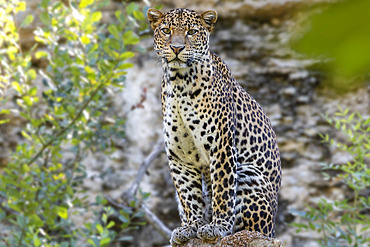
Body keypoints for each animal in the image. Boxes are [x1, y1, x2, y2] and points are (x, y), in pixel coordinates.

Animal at [147, 7, 280, 245]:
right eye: (166, 31)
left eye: (191, 32)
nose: (177, 48)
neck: (179, 82)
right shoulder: (179, 156)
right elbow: (189, 196)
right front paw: (190, 227)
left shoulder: (222, 147)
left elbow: (222, 191)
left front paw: (217, 227)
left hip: (249, 174)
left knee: (252, 229)